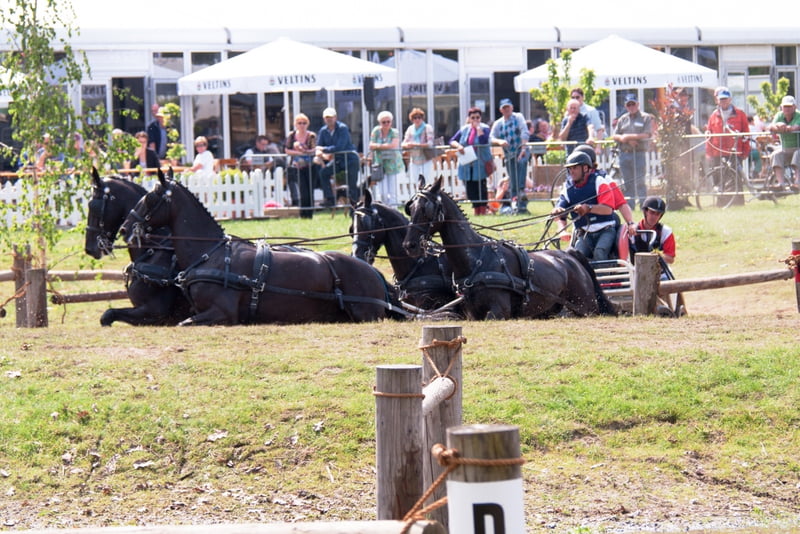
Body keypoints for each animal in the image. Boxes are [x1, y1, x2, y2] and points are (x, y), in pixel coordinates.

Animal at [117, 174, 406, 328]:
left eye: (149, 198)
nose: (125, 227)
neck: (211, 254)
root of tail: (373, 272)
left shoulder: (223, 314)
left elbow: (183, 323)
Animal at [404, 176, 616, 320]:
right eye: (410, 208)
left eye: (426, 209)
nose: (409, 245)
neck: (476, 259)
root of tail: (570, 256)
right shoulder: (473, 314)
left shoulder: (499, 312)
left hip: (586, 307)